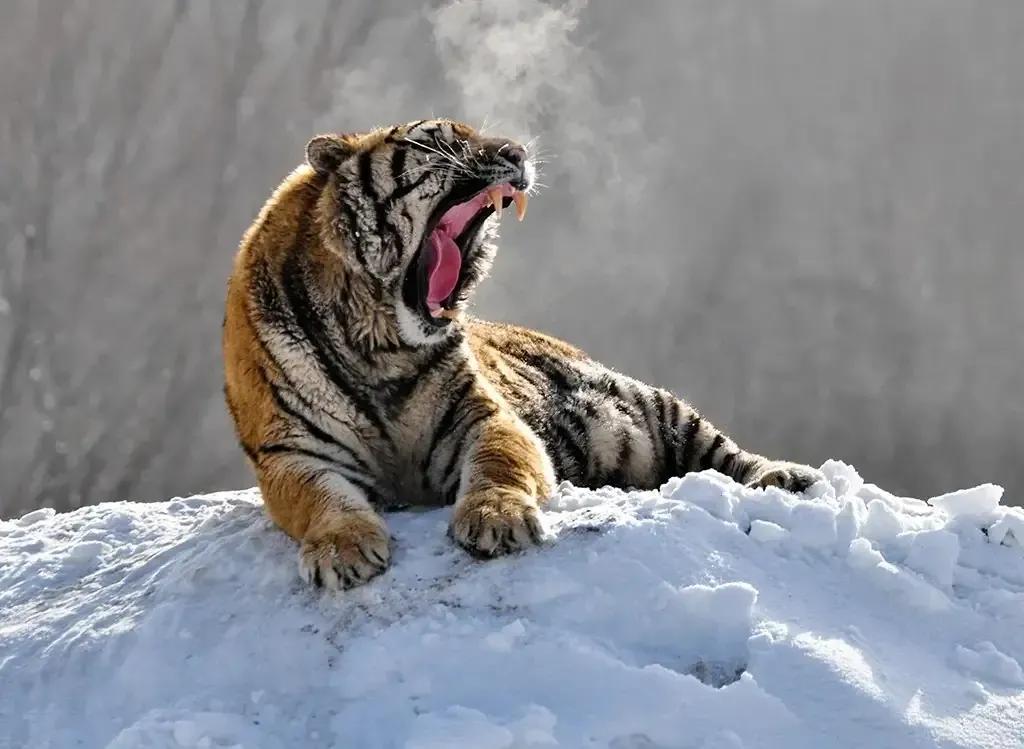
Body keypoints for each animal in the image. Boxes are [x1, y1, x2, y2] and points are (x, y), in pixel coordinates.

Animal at [222, 118, 822, 591]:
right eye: (437, 140)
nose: (518, 152)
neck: (382, 344)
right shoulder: (292, 453)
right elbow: (323, 500)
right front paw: (343, 552)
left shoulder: (483, 417)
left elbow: (499, 463)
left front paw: (497, 520)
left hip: (657, 407)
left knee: (726, 454)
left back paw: (786, 478)